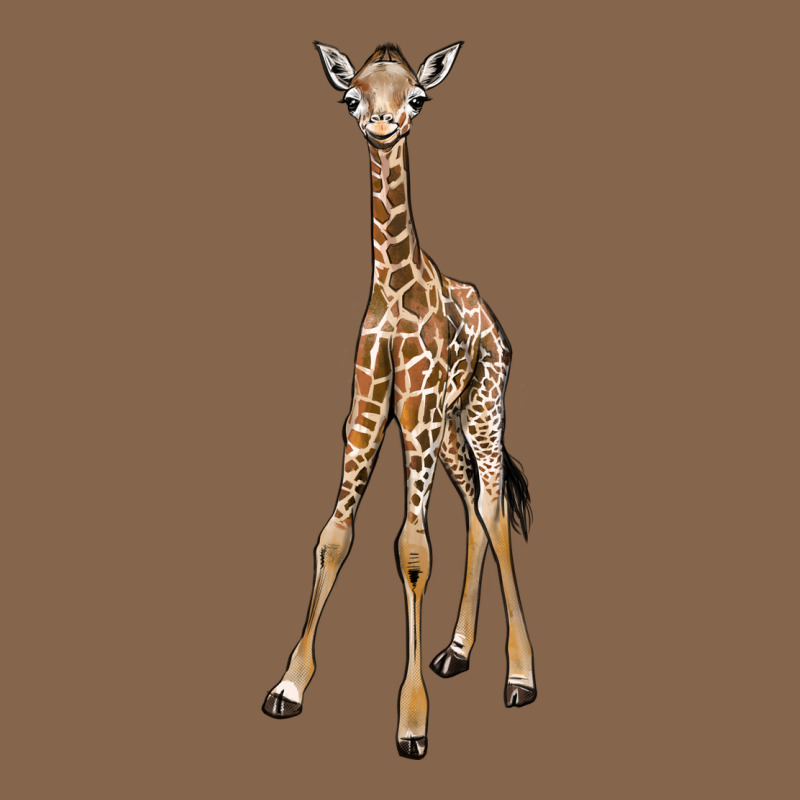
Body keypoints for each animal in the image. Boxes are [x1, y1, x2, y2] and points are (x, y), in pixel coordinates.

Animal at [263, 41, 537, 760]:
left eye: (416, 96)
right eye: (351, 97)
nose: (382, 127)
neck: (392, 288)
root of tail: (495, 322)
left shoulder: (411, 419)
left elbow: (413, 551)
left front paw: (412, 722)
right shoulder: (365, 418)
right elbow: (332, 537)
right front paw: (289, 685)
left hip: (482, 410)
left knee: (494, 507)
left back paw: (520, 676)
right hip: (449, 427)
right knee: (475, 509)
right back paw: (457, 651)